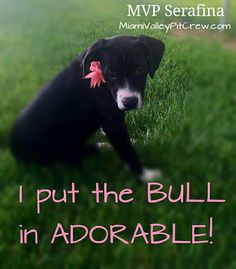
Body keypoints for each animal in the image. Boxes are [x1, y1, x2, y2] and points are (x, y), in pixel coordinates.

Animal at [10, 34, 165, 182]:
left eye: (140, 69)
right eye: (111, 73)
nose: (129, 101)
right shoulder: (113, 123)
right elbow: (126, 149)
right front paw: (145, 175)